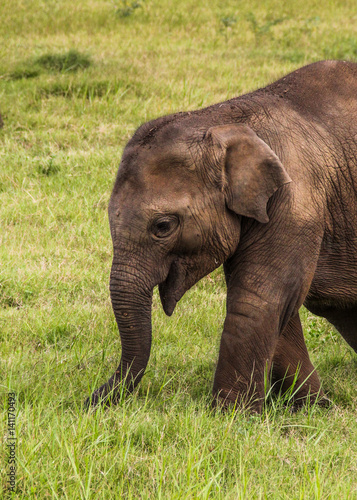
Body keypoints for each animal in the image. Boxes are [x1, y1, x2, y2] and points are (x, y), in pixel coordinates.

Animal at [86, 60, 356, 412]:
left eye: (163, 226)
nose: (85, 402)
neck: (222, 119)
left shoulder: (297, 199)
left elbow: (259, 299)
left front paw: (229, 415)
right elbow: (279, 307)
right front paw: (312, 406)